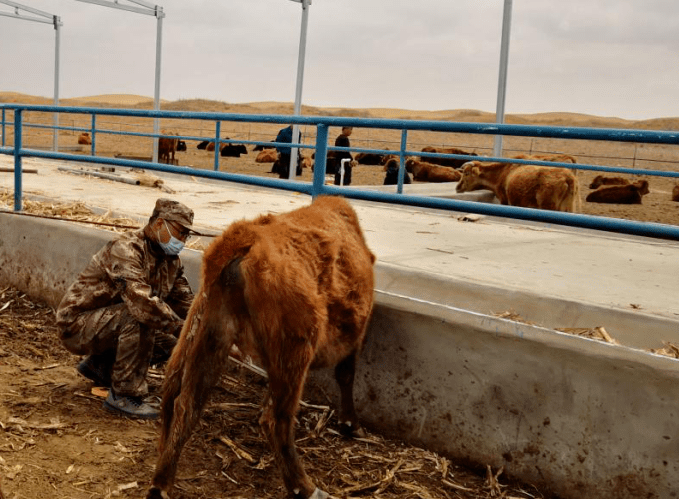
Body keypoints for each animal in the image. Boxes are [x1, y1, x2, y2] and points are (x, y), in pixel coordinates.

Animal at [147, 197, 378, 499]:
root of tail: (243, 240)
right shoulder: (355, 337)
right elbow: (346, 375)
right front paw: (351, 424)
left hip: (210, 333)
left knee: (185, 401)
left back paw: (161, 481)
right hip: (293, 350)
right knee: (276, 419)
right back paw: (304, 487)